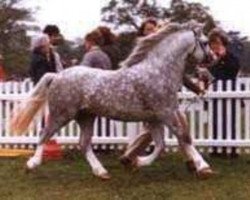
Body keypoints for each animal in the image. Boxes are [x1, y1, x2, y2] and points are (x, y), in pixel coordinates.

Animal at [10, 21, 214, 180]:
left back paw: (101, 172)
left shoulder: (155, 118)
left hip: (86, 117)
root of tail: (57, 76)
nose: (212, 59)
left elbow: (161, 145)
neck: (157, 71)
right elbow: (183, 137)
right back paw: (32, 164)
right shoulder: (166, 113)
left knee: (84, 144)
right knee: (44, 134)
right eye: (205, 42)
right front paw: (204, 167)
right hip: (61, 114)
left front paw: (136, 161)